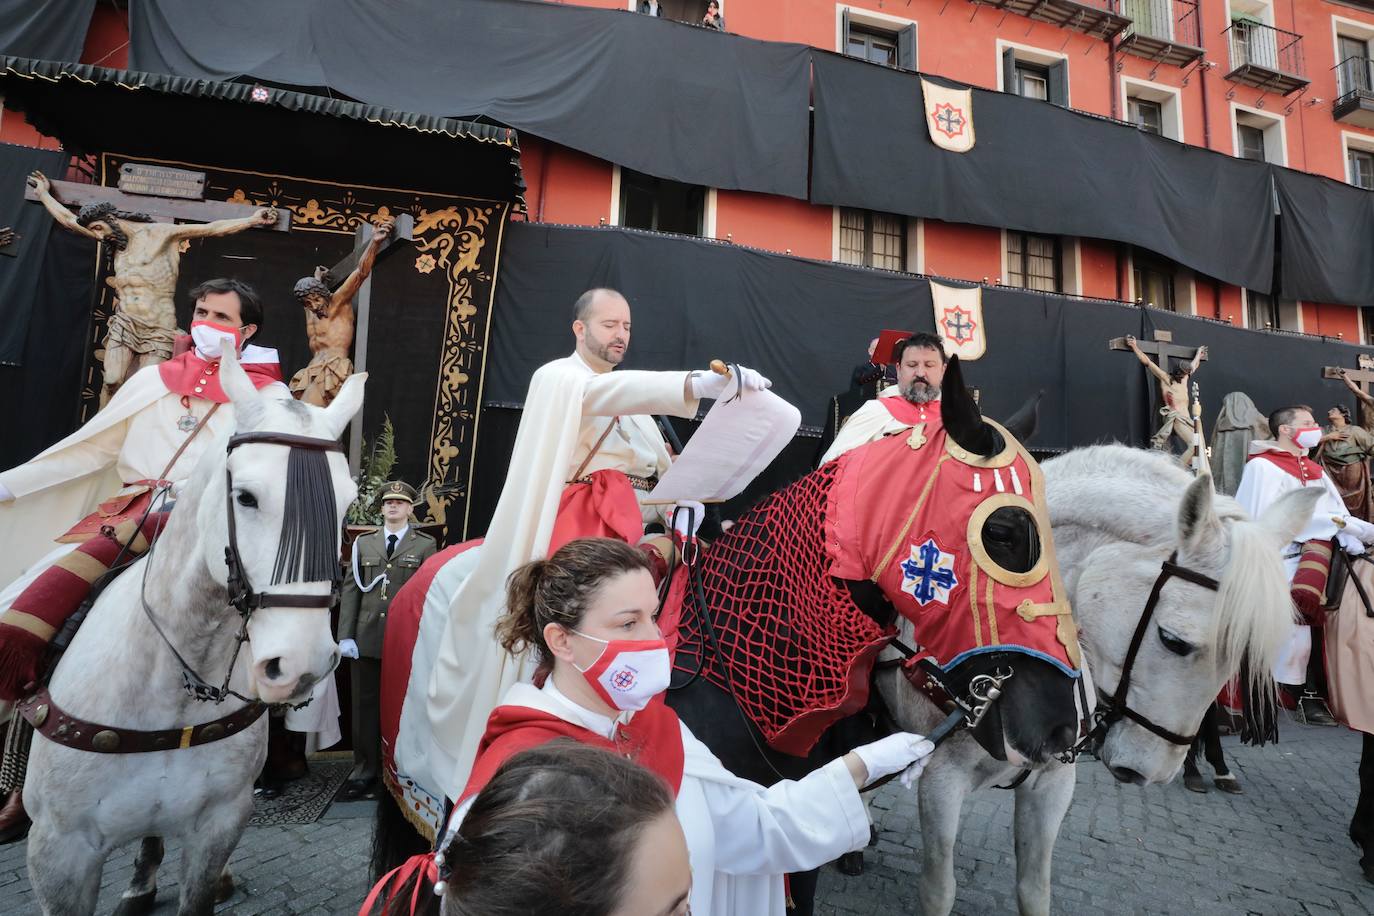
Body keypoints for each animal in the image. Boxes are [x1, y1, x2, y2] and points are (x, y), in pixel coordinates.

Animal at [23, 354, 365, 916]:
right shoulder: (58, 851)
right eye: (245, 497)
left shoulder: (218, 824)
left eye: (347, 504)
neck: (173, 683)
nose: (302, 664)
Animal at [873, 439, 1313, 911]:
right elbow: (939, 891)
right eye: (1173, 640)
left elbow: (1034, 888)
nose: (1147, 771)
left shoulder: (1052, 784)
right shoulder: (939, 781)